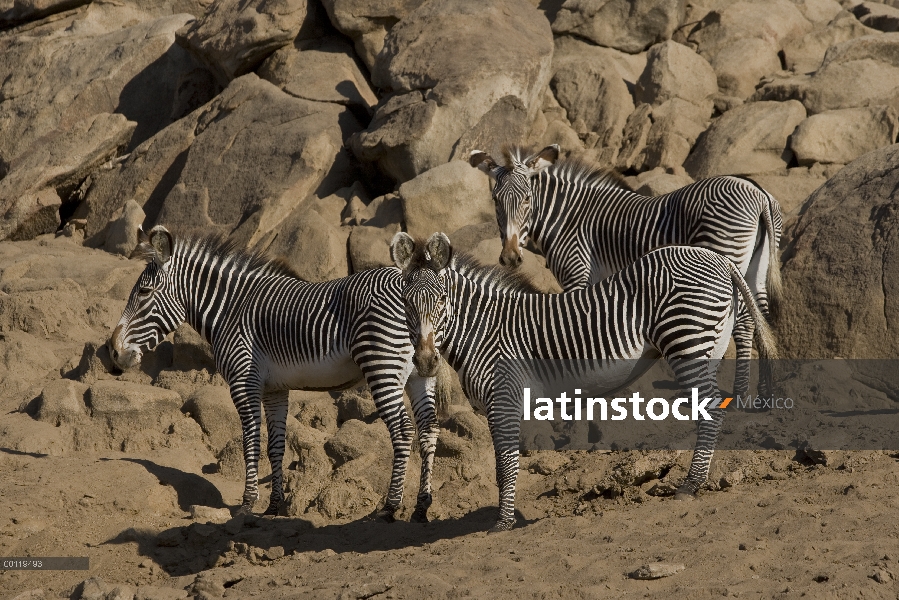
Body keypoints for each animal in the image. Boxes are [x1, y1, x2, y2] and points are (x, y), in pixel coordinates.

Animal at [110, 227, 444, 524]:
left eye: (143, 292)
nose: (113, 352)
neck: (230, 309)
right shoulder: (274, 389)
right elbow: (276, 446)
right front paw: (274, 506)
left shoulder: (243, 381)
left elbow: (251, 441)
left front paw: (247, 504)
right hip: (420, 370)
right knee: (428, 428)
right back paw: (421, 507)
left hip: (381, 365)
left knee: (403, 431)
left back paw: (390, 507)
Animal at [390, 232, 776, 532]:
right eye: (405, 303)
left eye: (442, 299)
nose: (424, 361)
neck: (484, 330)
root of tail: (718, 258)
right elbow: (503, 465)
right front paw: (506, 515)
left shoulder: (504, 398)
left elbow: (507, 464)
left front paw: (503, 521)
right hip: (712, 342)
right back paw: (700, 480)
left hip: (687, 338)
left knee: (711, 411)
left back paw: (690, 484)